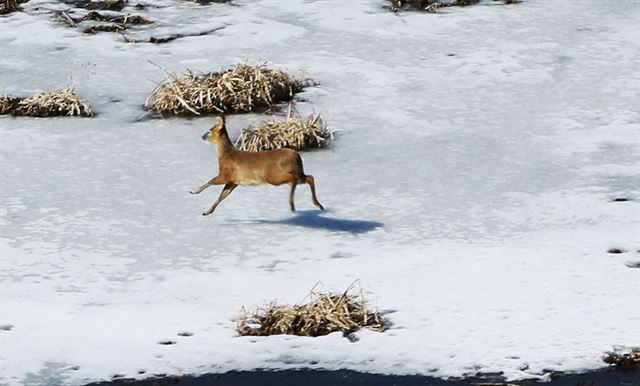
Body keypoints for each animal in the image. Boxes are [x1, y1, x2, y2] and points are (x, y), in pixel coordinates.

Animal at [188, 116, 322, 216]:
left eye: (209, 131)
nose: (202, 136)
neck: (225, 155)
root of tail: (296, 156)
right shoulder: (234, 181)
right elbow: (222, 196)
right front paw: (207, 211)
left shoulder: (225, 174)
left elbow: (210, 181)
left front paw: (194, 191)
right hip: (295, 172)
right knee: (309, 177)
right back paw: (318, 205)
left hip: (274, 176)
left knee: (297, 178)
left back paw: (292, 204)